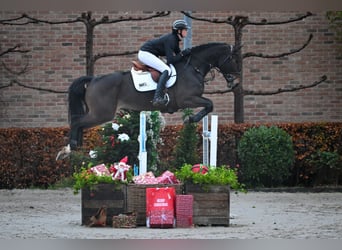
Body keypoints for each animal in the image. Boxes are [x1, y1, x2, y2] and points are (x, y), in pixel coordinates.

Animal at [56, 42, 240, 160]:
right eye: (232, 59)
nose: (236, 81)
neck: (193, 67)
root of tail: (93, 79)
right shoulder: (187, 99)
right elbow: (209, 104)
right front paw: (190, 119)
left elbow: (209, 105)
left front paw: (191, 119)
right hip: (101, 114)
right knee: (77, 121)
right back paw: (69, 148)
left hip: (98, 113)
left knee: (79, 122)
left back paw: (73, 147)